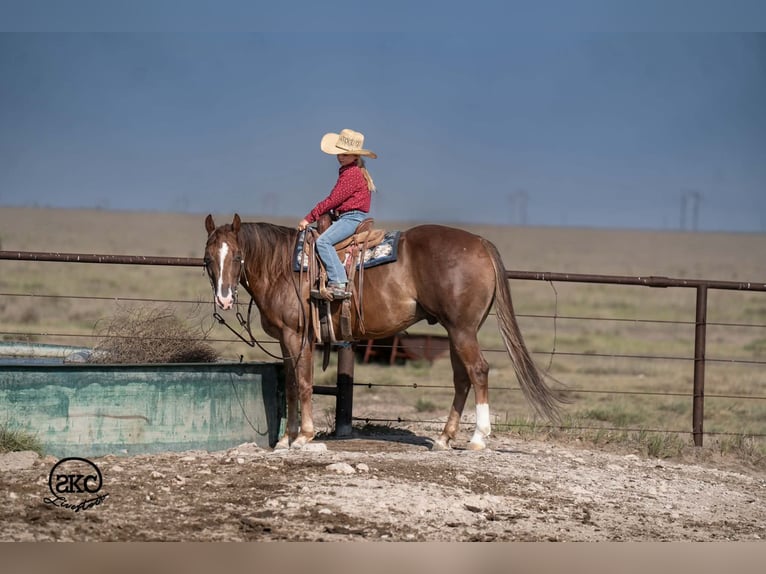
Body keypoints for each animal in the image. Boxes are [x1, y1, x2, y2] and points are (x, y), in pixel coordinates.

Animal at [203, 213, 564, 450]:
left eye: (237, 255)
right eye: (208, 258)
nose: (224, 298)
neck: (282, 267)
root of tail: (479, 242)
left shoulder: (297, 335)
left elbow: (302, 382)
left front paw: (303, 435)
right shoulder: (284, 338)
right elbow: (291, 383)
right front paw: (286, 439)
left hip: (463, 330)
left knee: (478, 371)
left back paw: (477, 438)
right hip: (457, 332)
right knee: (462, 378)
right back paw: (444, 438)